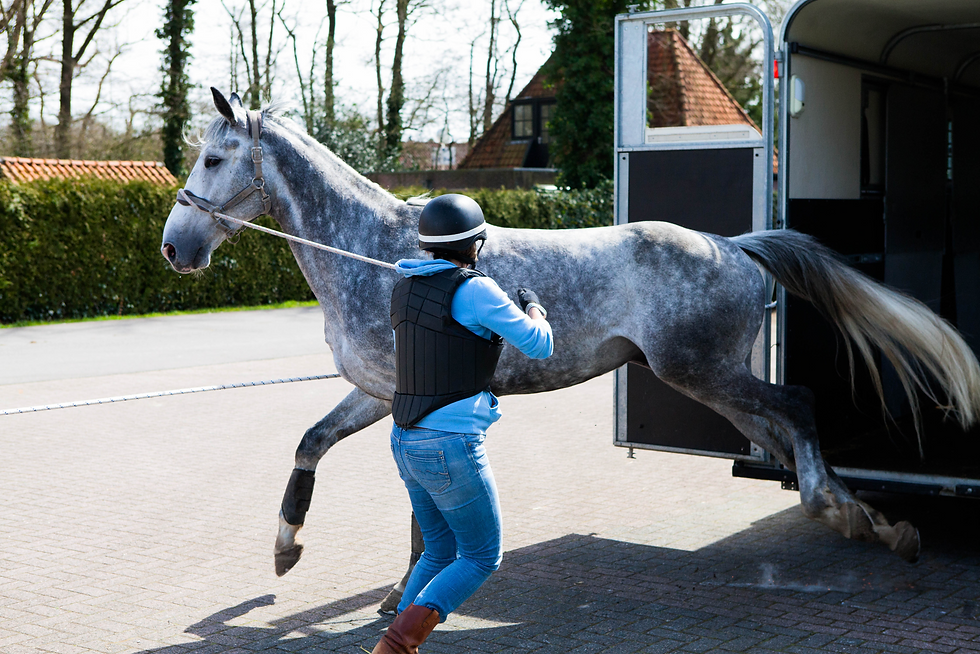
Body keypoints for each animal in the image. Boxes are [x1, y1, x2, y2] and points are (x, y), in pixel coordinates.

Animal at [162, 89, 980, 594]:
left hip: (703, 372)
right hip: (709, 380)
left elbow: (419, 500)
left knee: (801, 408)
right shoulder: (379, 395)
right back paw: (877, 524)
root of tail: (735, 246)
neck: (380, 253)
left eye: (212, 158)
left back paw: (846, 513)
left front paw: (403, 586)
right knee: (783, 432)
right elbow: (312, 442)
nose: (175, 247)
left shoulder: (406, 398)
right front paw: (286, 549)